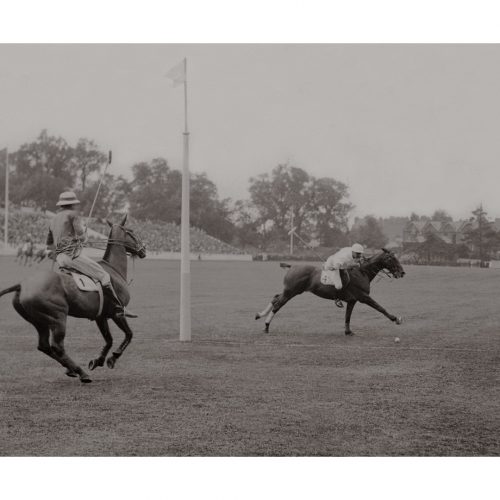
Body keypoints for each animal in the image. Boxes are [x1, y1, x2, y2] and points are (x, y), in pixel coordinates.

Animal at [0, 214, 147, 382]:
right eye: (131, 231)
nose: (144, 250)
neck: (113, 269)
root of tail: (21, 285)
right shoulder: (117, 313)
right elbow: (129, 334)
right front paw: (112, 358)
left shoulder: (100, 316)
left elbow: (109, 339)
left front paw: (98, 361)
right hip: (58, 318)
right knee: (57, 346)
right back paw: (81, 372)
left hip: (39, 321)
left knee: (44, 346)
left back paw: (72, 369)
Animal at [256, 249, 404, 336]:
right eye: (391, 258)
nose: (402, 272)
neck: (362, 272)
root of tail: (292, 266)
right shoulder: (363, 297)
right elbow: (380, 308)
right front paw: (396, 319)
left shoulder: (352, 300)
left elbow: (347, 316)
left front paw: (348, 331)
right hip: (291, 291)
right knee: (277, 305)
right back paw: (266, 326)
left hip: (289, 290)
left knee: (275, 297)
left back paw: (259, 315)